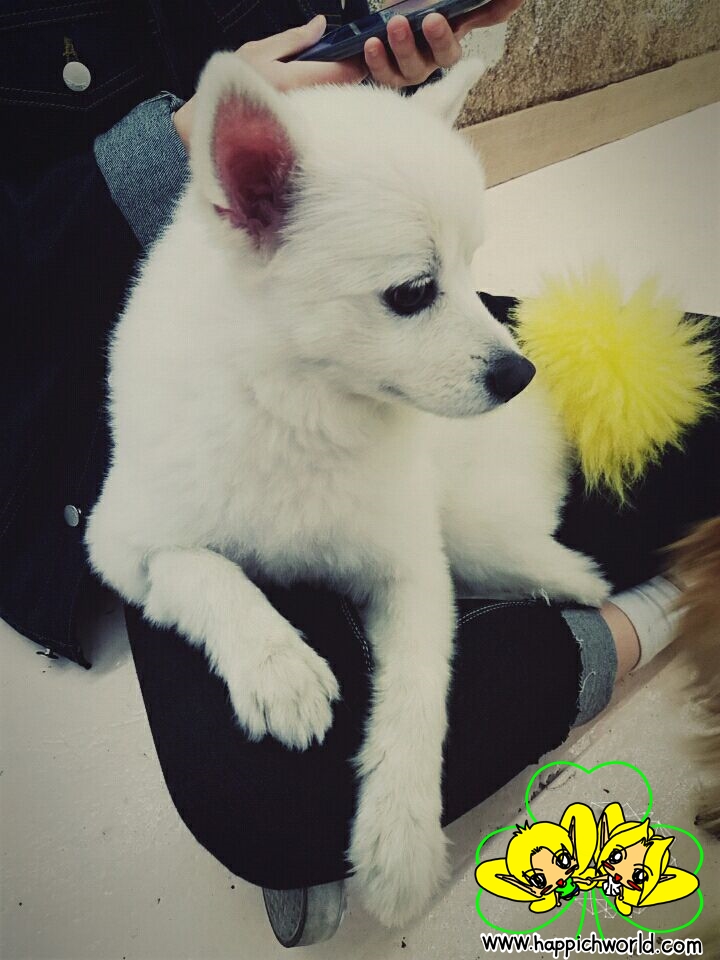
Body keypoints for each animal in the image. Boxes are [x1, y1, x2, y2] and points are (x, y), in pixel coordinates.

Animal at [86, 54, 609, 925]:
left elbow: (417, 697)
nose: (517, 373)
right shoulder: (121, 544)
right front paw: (278, 667)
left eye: (472, 269)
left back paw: (576, 578)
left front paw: (399, 842)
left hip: (474, 529)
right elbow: (204, 570)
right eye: (413, 292)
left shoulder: (412, 572)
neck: (302, 407)